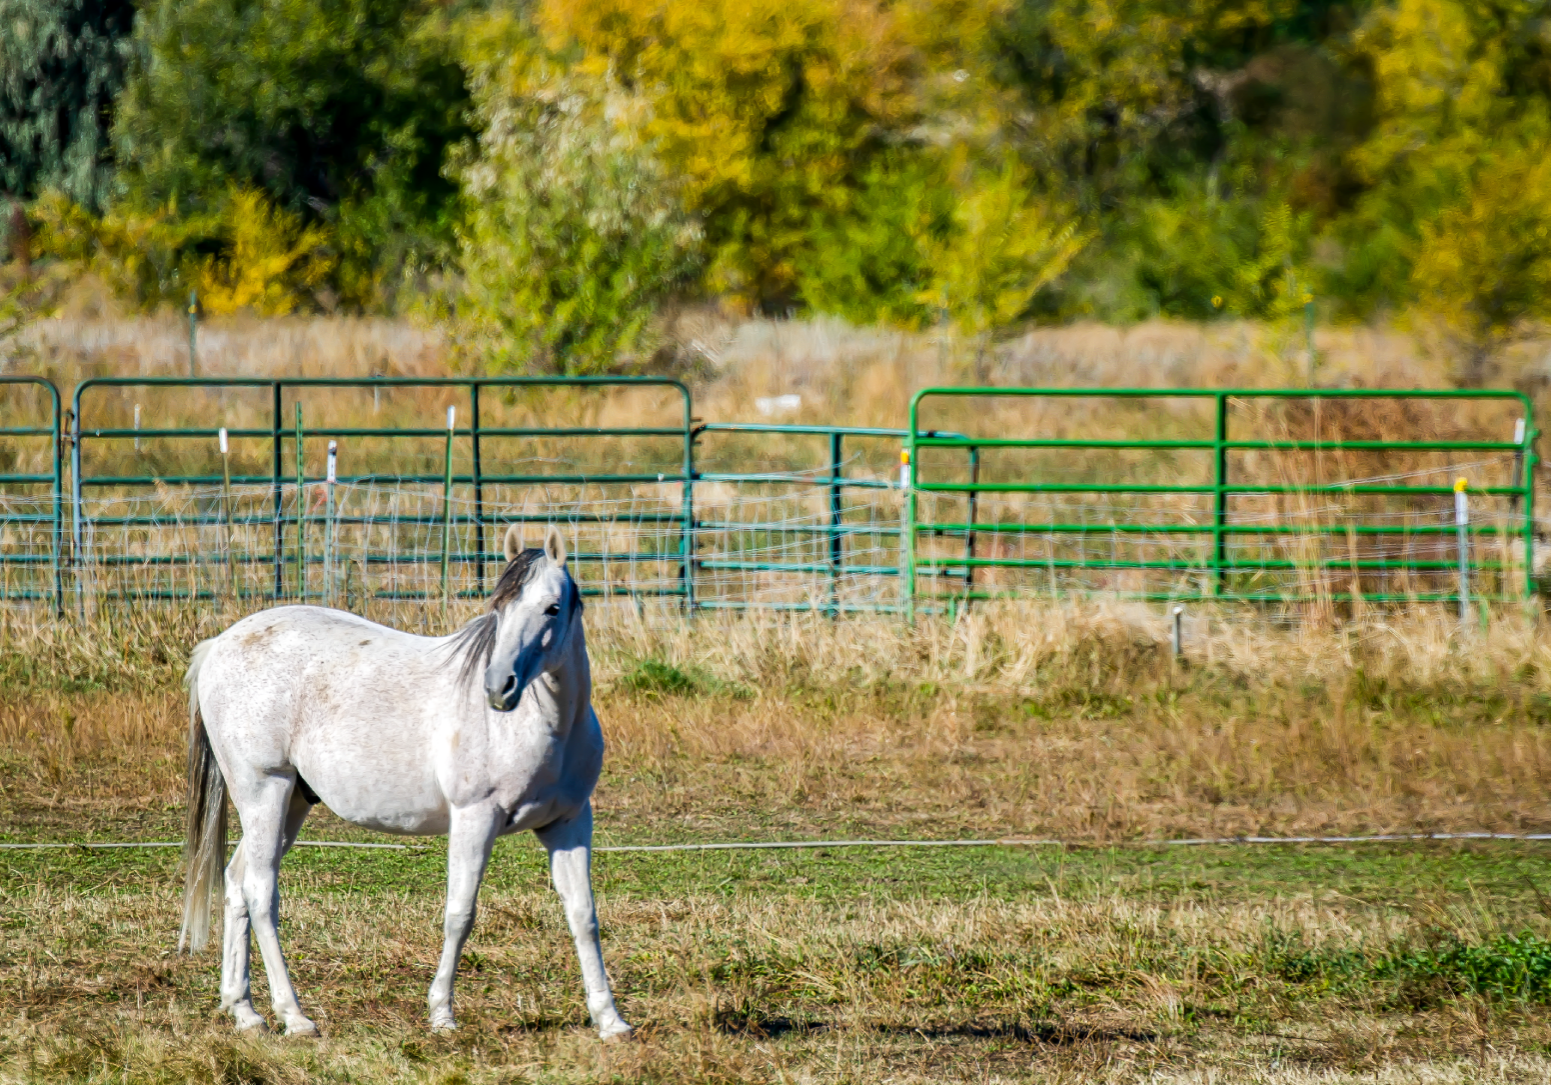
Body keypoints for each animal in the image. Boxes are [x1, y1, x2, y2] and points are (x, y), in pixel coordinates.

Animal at [174, 530, 623, 1035]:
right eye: (500, 606)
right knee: (260, 893)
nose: (498, 687)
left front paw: (610, 1020)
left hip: (292, 803)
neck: (543, 726)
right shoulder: (475, 819)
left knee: (236, 883)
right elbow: (460, 914)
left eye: (552, 608)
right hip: (263, 791)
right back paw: (294, 1016)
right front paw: (442, 1014)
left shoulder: (569, 824)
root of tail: (220, 644)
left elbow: (583, 915)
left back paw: (244, 1010)